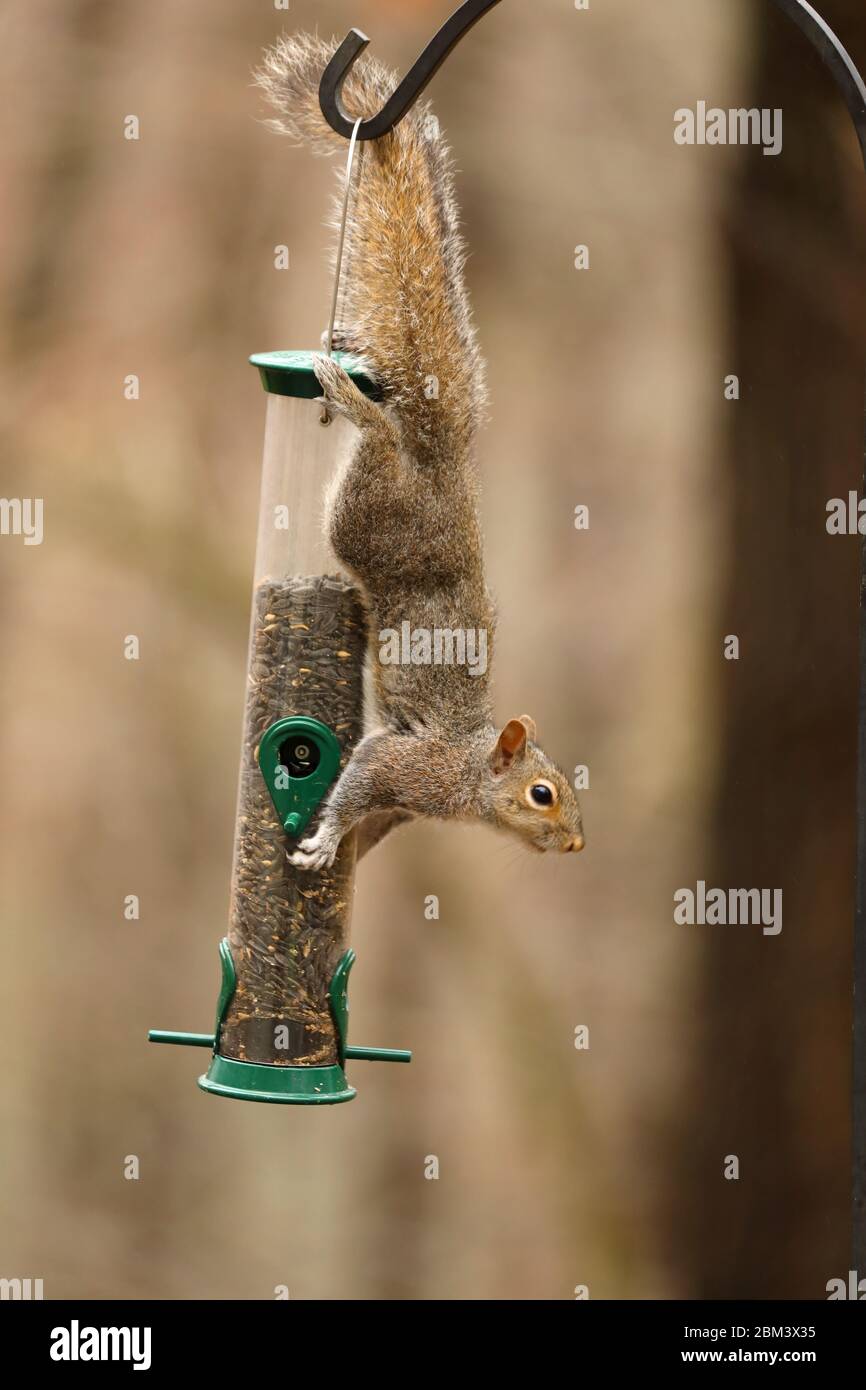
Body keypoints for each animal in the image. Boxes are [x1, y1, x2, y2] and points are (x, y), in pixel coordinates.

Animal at [255, 34, 585, 870]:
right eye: (543, 794)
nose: (575, 843)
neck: (466, 775)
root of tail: (442, 462)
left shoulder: (406, 800)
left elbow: (370, 821)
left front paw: (341, 851)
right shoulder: (405, 763)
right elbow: (359, 779)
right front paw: (323, 841)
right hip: (371, 514)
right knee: (375, 443)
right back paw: (352, 404)